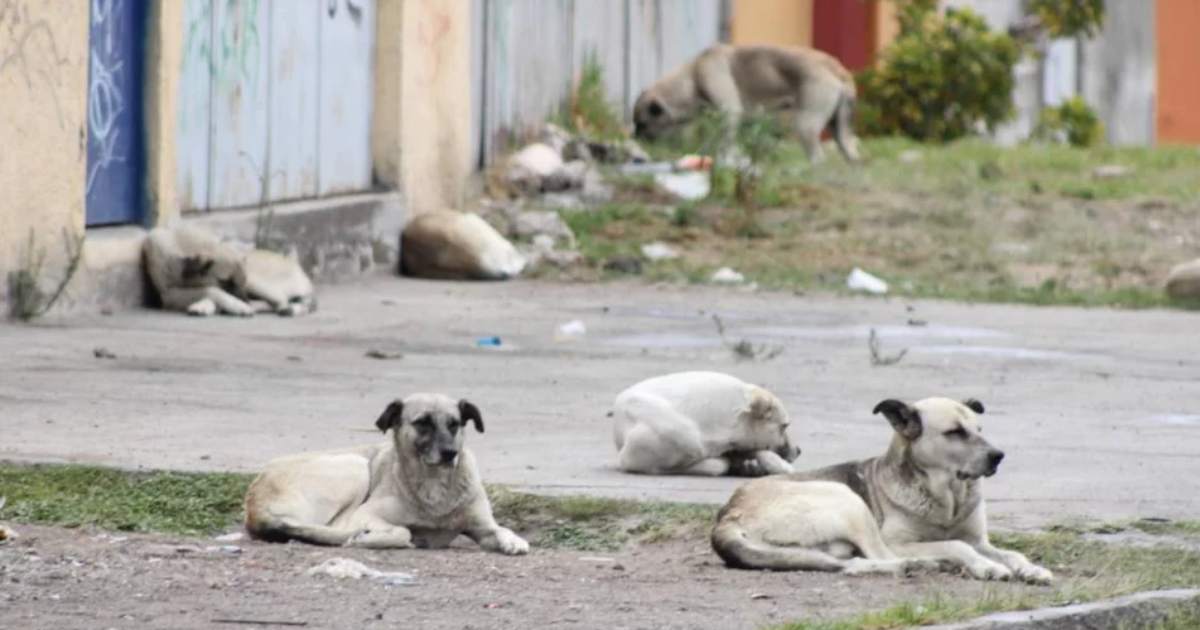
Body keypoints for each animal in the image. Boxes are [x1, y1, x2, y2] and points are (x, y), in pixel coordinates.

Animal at [141, 224, 314, 316]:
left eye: (241, 281)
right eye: (226, 281)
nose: (245, 300)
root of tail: (292, 261)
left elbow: (210, 291)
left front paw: (239, 306)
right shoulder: (168, 294)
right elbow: (211, 290)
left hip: (258, 284)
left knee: (282, 302)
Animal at [242, 393, 525, 554]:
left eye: (454, 424)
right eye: (422, 423)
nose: (450, 453)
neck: (434, 485)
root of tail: (253, 504)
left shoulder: (483, 527)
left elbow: (502, 530)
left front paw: (514, 541)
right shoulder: (365, 515)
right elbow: (403, 531)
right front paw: (369, 539)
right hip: (354, 466)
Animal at [710, 396, 1051, 583]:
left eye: (979, 429)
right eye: (955, 432)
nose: (998, 456)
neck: (947, 498)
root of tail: (728, 514)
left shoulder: (979, 539)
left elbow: (1012, 553)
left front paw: (1031, 570)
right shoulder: (901, 542)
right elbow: (957, 545)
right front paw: (987, 567)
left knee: (854, 564)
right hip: (847, 500)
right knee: (879, 555)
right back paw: (926, 564)